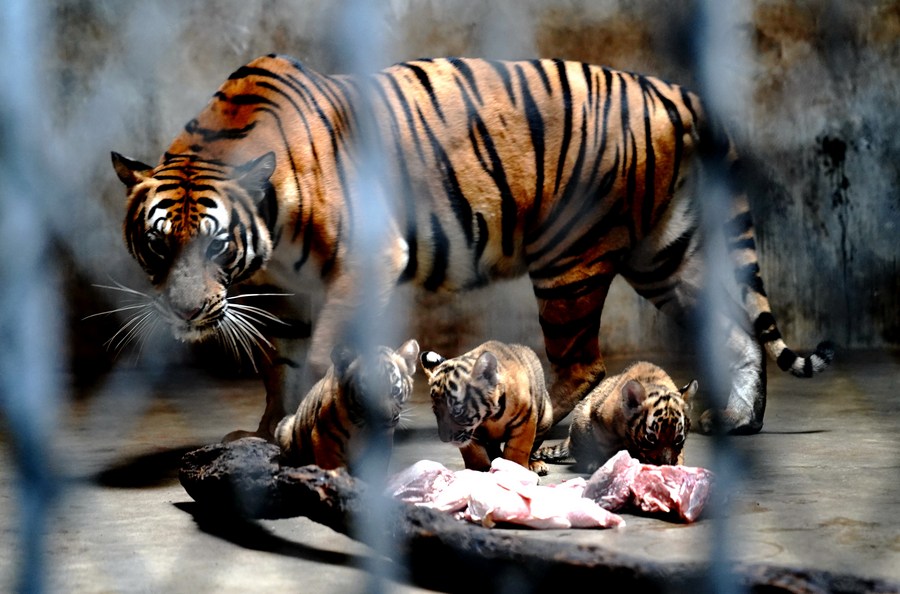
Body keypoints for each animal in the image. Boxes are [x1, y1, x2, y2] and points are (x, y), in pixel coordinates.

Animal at [111, 54, 834, 442]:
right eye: (158, 247)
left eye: (215, 246)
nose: (186, 313)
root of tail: (669, 89)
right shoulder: (288, 292)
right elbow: (278, 368)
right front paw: (266, 435)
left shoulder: (366, 260)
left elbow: (319, 355)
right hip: (667, 254)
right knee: (739, 331)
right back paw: (737, 419)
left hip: (571, 259)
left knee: (582, 363)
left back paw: (552, 424)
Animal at [420, 341, 553, 476]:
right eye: (436, 412)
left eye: (457, 411)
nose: (444, 438)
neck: (491, 416)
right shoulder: (472, 433)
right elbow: (474, 454)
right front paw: (478, 471)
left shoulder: (525, 421)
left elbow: (516, 451)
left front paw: (515, 470)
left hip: (546, 418)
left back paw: (536, 464)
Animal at [534, 361, 697, 473]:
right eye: (651, 438)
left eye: (678, 439)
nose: (664, 466)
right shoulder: (601, 426)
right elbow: (611, 450)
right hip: (581, 423)